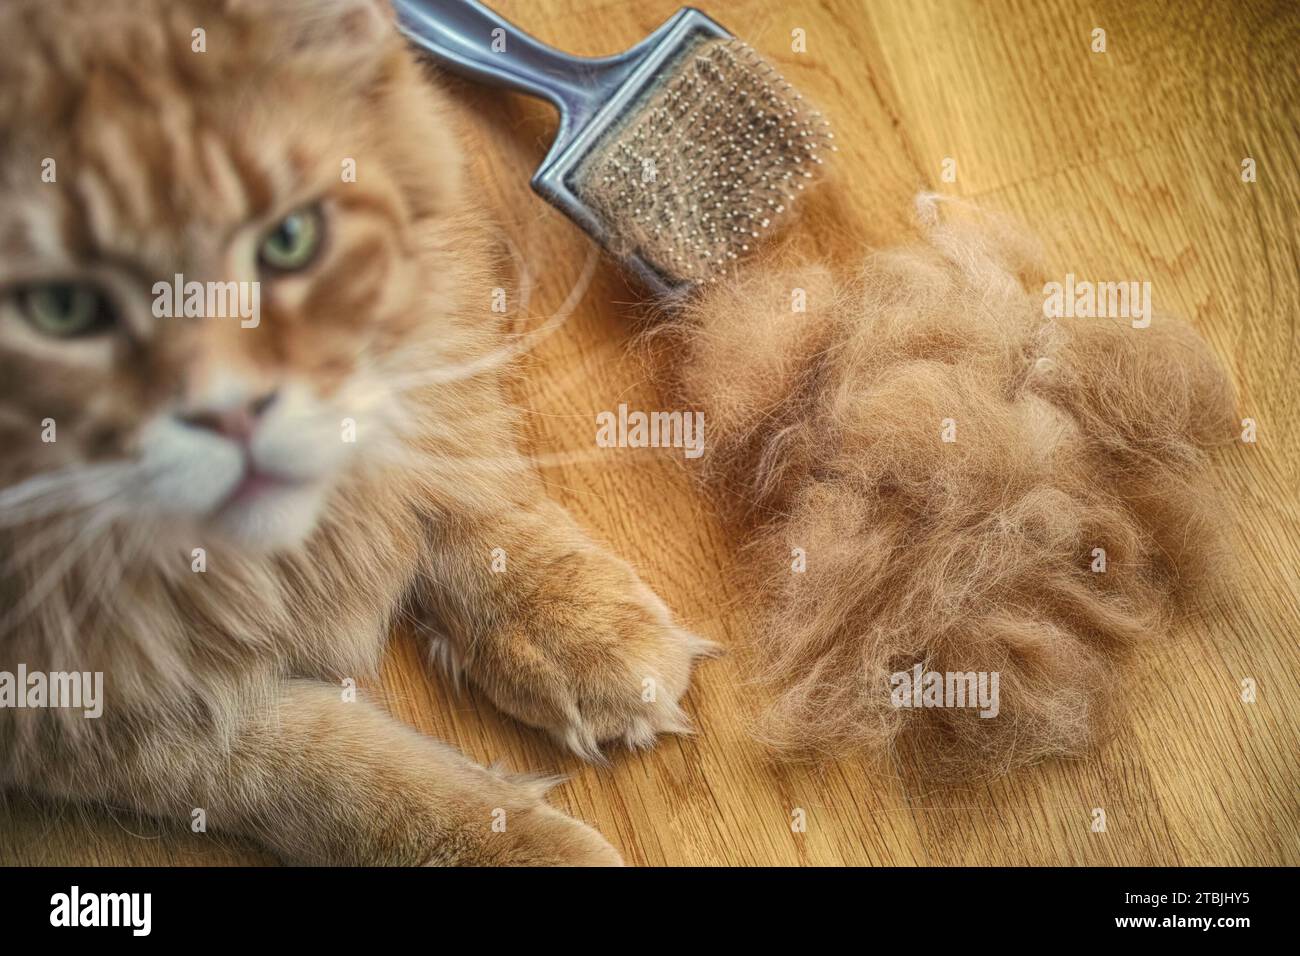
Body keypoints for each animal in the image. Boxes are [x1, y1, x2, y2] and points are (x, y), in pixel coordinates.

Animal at [0, 0, 712, 868]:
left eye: (290, 239)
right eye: (61, 307)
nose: (236, 411)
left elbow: (462, 487)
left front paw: (580, 631)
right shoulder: (79, 713)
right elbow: (334, 773)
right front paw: (516, 844)